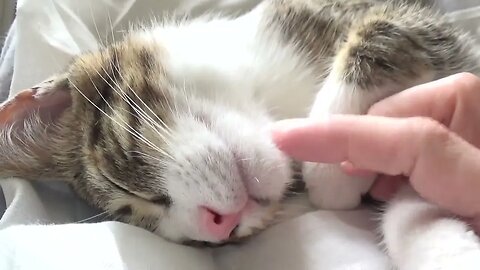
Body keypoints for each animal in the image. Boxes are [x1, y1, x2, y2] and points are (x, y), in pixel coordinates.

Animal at [0, 0, 480, 268]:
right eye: (190, 242)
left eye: (123, 183)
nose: (221, 227)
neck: (266, 96)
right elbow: (413, 205)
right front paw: (446, 249)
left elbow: (385, 30)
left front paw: (327, 163)